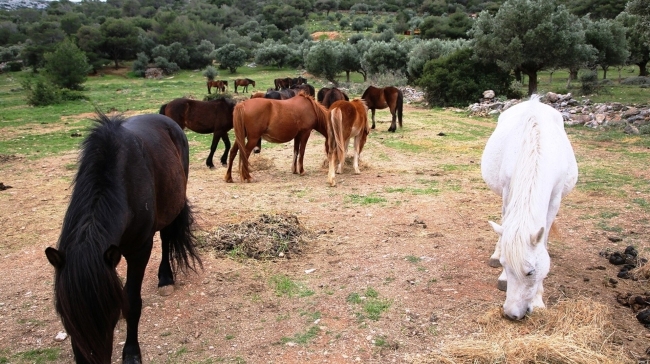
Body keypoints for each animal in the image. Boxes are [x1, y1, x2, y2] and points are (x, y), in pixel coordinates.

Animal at [44, 113, 200, 364]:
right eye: (66, 318)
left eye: (109, 315)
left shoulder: (139, 251)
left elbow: (132, 303)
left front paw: (132, 352)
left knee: (166, 238)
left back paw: (166, 278)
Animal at [478, 95, 576, 320]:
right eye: (505, 265)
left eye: (530, 272)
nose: (510, 314)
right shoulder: (508, 190)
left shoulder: (554, 199)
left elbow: (544, 242)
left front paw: (538, 300)